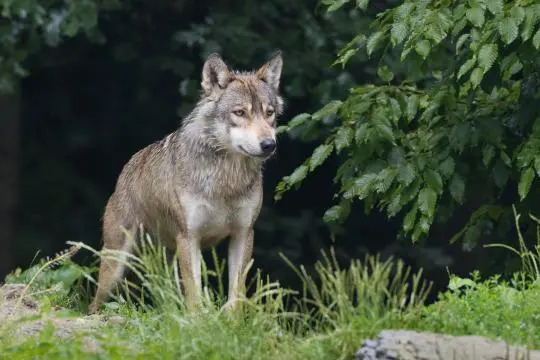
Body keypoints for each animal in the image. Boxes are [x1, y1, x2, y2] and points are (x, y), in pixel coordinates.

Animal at [88, 52, 282, 314]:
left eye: (269, 113)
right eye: (240, 113)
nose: (269, 144)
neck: (225, 179)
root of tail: (128, 166)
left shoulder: (243, 234)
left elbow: (236, 294)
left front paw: (231, 319)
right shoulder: (189, 237)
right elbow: (195, 294)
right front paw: (199, 320)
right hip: (116, 266)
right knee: (94, 303)